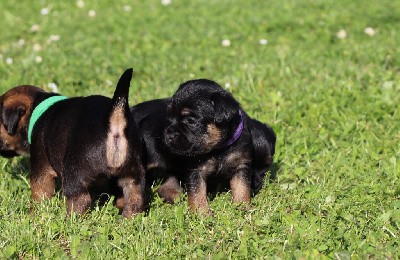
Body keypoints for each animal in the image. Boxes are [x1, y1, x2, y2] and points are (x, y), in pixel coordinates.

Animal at [0, 69, 145, 217]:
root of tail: (115, 121)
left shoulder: (41, 169)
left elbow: (39, 193)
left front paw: (33, 213)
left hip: (74, 171)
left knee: (80, 199)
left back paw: (70, 219)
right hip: (133, 173)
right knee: (135, 198)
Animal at [131, 78, 276, 213]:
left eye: (190, 121)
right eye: (170, 116)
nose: (168, 134)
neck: (219, 149)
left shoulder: (241, 166)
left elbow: (242, 188)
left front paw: (242, 207)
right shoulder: (196, 171)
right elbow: (197, 191)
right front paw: (201, 213)